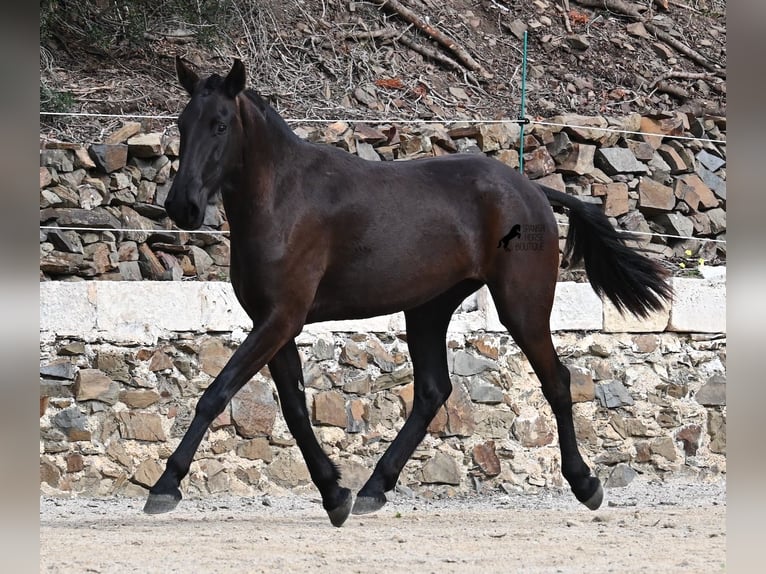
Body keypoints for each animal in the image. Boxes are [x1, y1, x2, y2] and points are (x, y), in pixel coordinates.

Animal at [144, 56, 672, 528]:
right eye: (182, 123)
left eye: (220, 124)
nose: (181, 206)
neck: (283, 198)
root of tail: (534, 192)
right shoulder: (275, 323)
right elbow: (293, 408)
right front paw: (335, 494)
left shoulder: (280, 318)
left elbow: (216, 394)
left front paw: (164, 487)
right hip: (427, 310)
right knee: (434, 391)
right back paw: (373, 488)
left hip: (521, 306)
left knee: (556, 381)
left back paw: (586, 484)